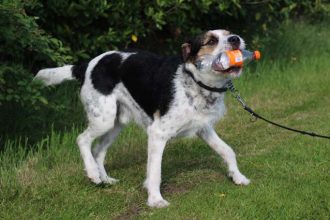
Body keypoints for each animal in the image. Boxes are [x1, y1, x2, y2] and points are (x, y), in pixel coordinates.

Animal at [34, 29, 249, 208]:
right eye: (211, 40)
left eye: (229, 33)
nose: (236, 39)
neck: (196, 83)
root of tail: (86, 65)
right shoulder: (157, 134)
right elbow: (154, 172)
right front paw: (155, 200)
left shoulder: (203, 128)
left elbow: (228, 151)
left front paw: (238, 177)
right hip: (103, 119)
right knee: (82, 139)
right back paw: (93, 173)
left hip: (116, 124)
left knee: (98, 149)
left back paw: (105, 179)